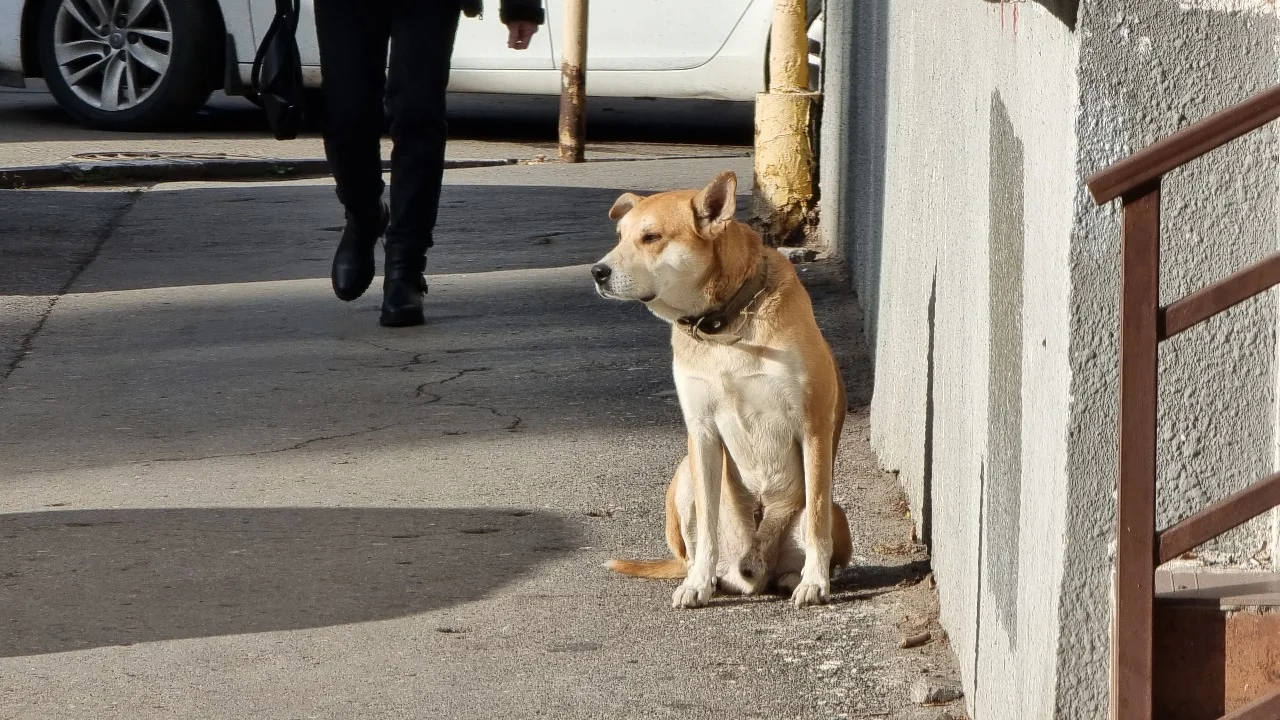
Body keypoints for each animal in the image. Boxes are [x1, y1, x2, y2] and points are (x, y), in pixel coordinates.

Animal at [588, 169, 849, 604]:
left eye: (651, 237)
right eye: (619, 236)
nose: (597, 271)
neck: (723, 328)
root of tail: (755, 570)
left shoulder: (813, 427)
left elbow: (815, 519)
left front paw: (815, 582)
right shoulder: (703, 431)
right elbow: (707, 525)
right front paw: (698, 585)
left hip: (838, 516)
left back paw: (793, 577)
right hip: (683, 476)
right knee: (694, 549)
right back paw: (702, 576)